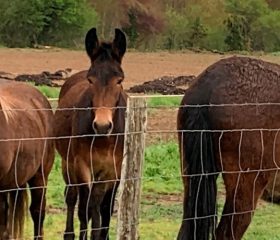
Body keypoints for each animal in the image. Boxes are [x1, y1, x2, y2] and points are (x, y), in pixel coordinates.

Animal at [53, 26, 128, 240]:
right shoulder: (82, 167)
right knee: (72, 199)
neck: (103, 140)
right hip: (67, 164)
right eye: (90, 80)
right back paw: (70, 234)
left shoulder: (112, 171)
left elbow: (103, 209)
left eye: (119, 80)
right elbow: (87, 209)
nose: (102, 125)